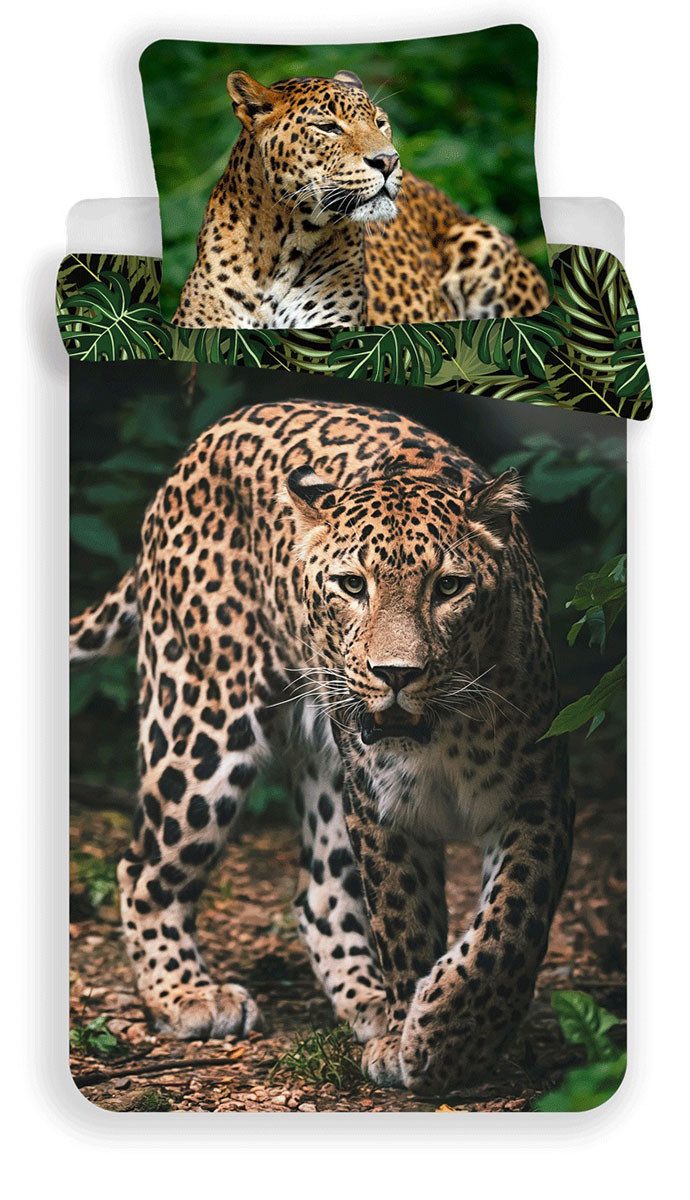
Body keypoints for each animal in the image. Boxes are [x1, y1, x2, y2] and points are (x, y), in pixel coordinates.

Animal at [70, 399, 572, 1094]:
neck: (440, 735)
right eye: (351, 585)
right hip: (200, 723)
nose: (396, 674)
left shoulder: (537, 798)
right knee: (143, 866)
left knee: (320, 896)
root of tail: (199, 446)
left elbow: (509, 926)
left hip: (324, 769)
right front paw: (419, 1037)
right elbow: (405, 922)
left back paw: (367, 1003)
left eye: (449, 588)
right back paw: (188, 995)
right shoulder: (382, 810)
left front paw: (448, 1032)